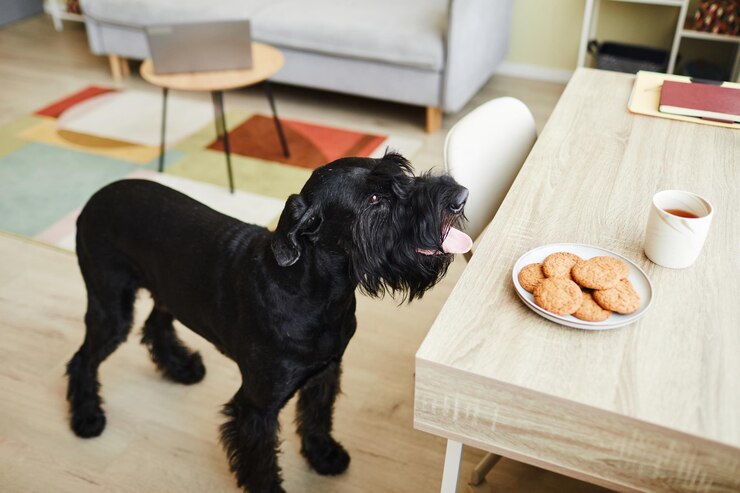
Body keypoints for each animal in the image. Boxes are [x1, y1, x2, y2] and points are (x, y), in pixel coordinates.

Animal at [63, 152, 468, 490]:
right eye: (374, 200)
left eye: (402, 173)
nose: (460, 196)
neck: (318, 291)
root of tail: (93, 200)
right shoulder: (257, 406)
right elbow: (260, 461)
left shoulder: (325, 372)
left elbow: (317, 419)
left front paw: (324, 456)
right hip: (110, 308)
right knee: (83, 359)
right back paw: (87, 417)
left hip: (168, 288)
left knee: (155, 322)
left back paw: (180, 367)